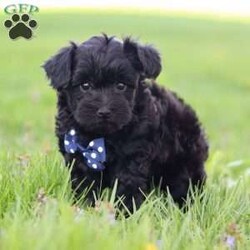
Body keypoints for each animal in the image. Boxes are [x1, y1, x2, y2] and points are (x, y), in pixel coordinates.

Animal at [43, 34, 209, 211]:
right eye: (85, 85)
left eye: (121, 85)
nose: (104, 111)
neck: (104, 137)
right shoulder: (79, 156)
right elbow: (85, 186)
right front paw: (85, 208)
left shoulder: (133, 157)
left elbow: (128, 186)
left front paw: (125, 213)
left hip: (184, 165)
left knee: (186, 187)